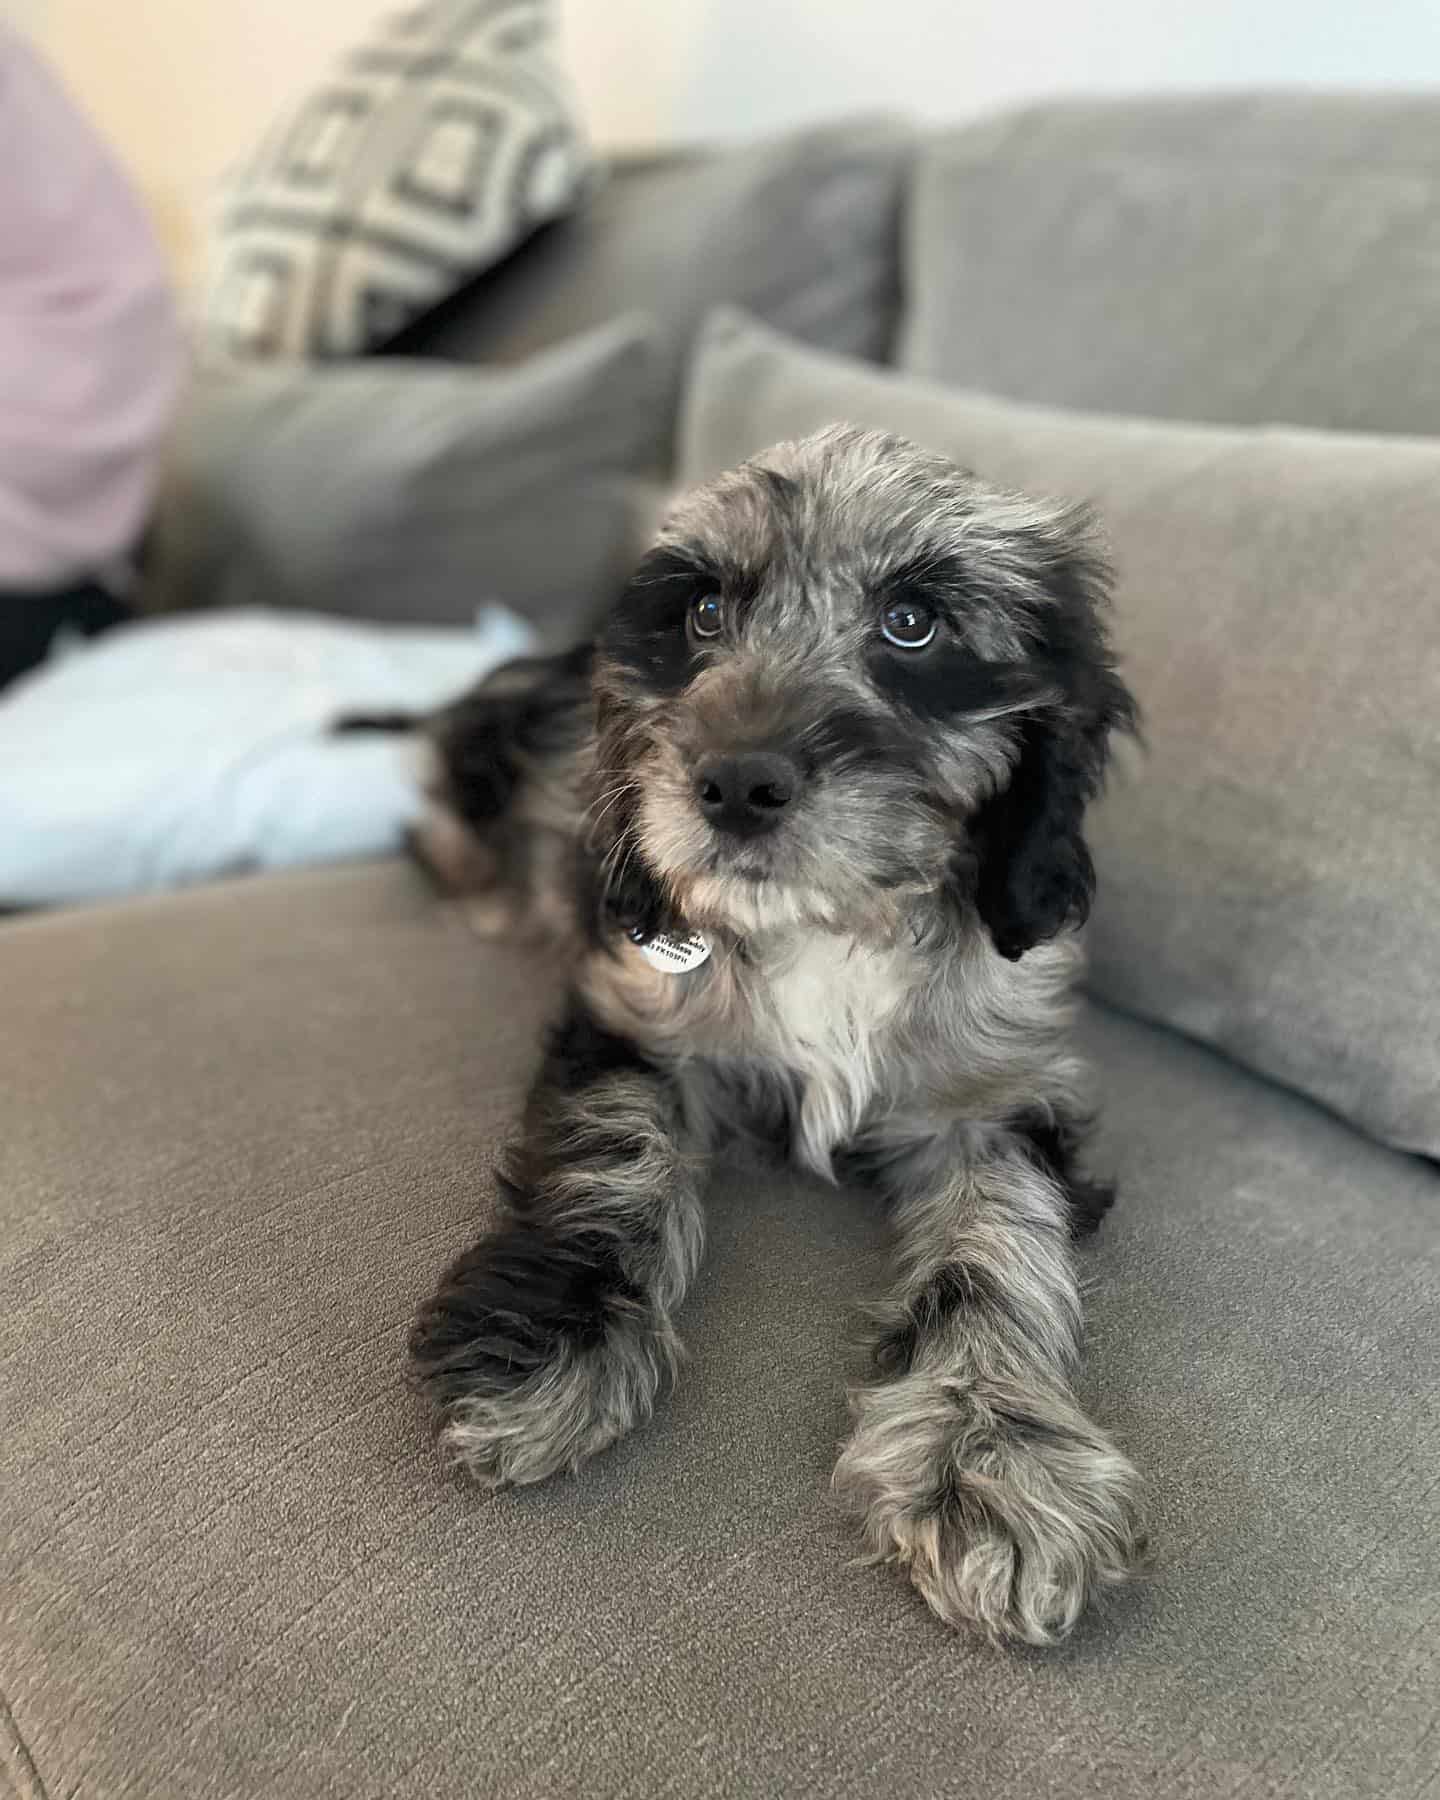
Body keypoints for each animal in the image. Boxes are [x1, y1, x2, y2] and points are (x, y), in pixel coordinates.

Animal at [405, 421, 1144, 1648]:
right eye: (704, 614)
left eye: (913, 623)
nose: (737, 783)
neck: (827, 927)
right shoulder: (634, 1016)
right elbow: (613, 1158)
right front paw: (546, 1339)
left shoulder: (995, 1090)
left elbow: (1000, 1251)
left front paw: (992, 1455)